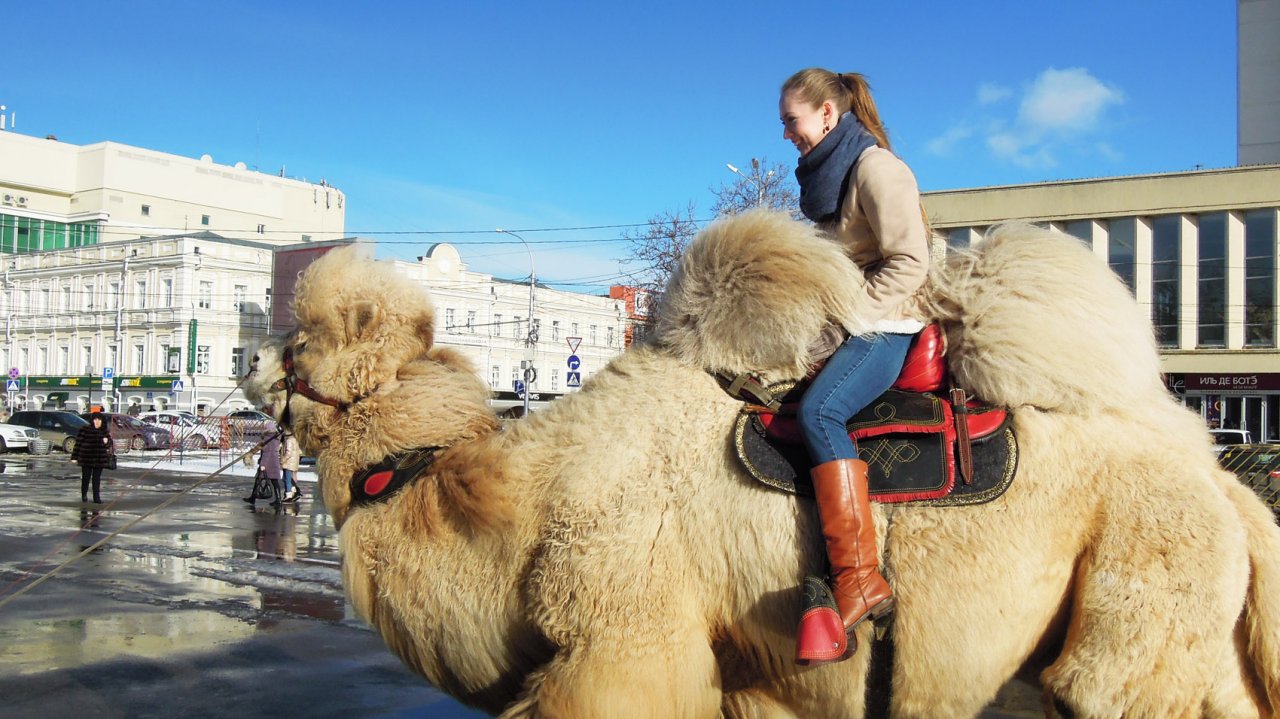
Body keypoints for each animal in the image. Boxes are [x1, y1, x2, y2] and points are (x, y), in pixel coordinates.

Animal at [244, 209, 1280, 711]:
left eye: (303, 347)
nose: (248, 362)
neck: (524, 499)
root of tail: (1225, 481)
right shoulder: (752, 670)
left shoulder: (627, 634)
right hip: (1197, 629)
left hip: (1139, 594)